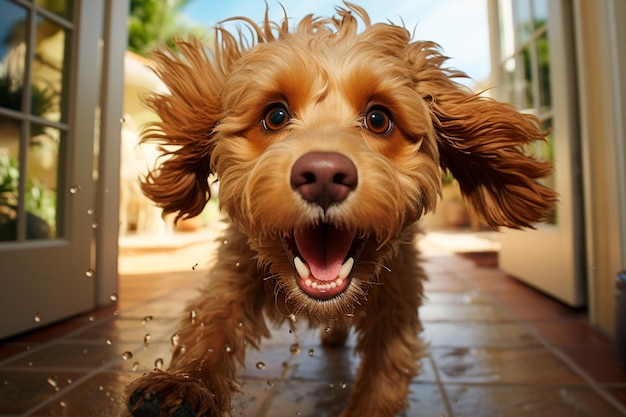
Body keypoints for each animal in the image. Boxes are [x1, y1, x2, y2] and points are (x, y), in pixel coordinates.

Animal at [123, 4, 556, 416]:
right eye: (275, 115)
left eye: (379, 119)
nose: (324, 175)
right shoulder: (235, 270)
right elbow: (211, 325)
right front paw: (184, 383)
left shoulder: (397, 303)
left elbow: (383, 379)